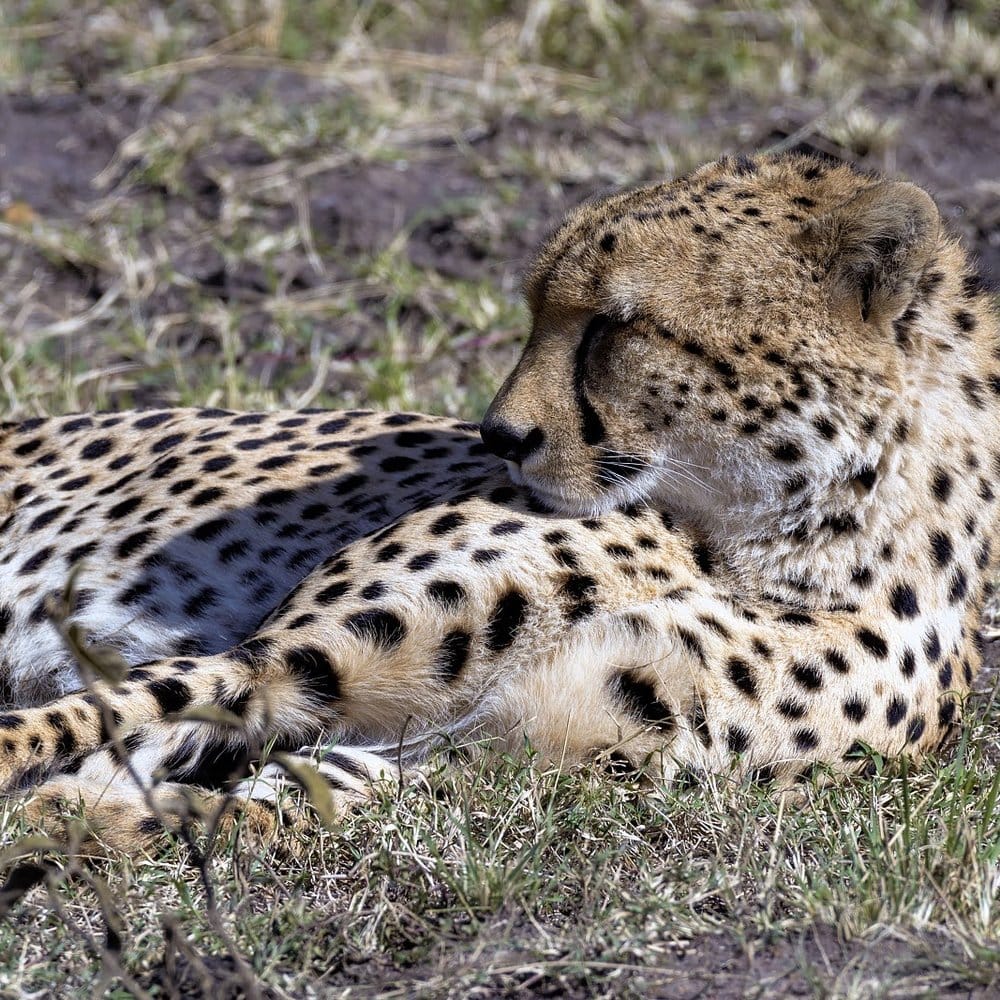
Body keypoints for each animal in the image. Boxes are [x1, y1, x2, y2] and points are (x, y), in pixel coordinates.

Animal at [0, 151, 997, 854]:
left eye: (617, 324)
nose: (500, 434)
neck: (764, 544)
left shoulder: (508, 758)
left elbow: (289, 800)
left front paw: (95, 820)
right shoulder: (283, 659)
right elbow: (94, 716)